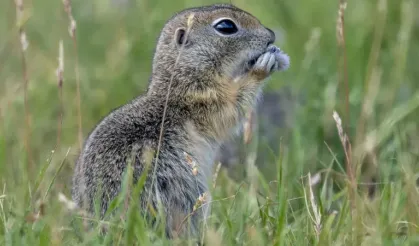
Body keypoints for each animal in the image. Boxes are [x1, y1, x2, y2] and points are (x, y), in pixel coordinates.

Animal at [72, 3, 288, 238]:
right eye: (226, 26)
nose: (271, 35)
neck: (179, 79)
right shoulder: (207, 100)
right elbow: (234, 105)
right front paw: (262, 67)